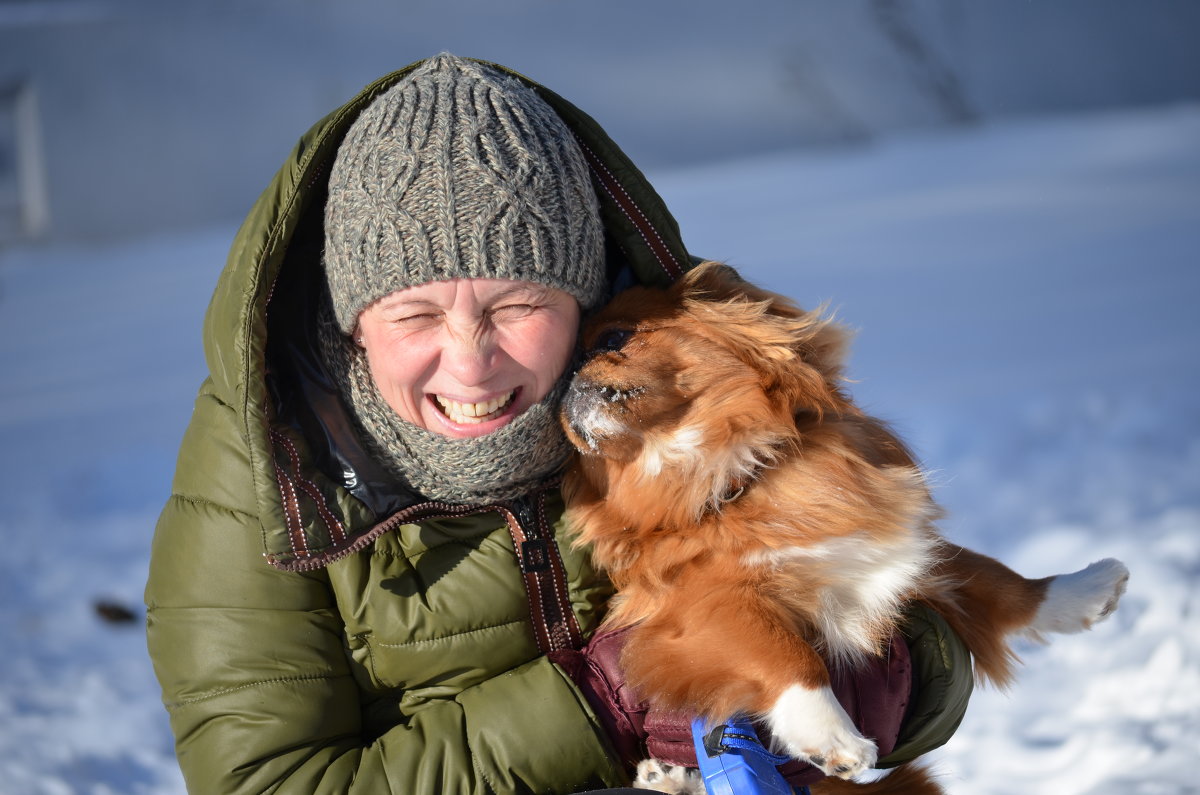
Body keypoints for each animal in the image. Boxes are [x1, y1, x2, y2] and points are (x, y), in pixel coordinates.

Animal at [559, 264, 1123, 792]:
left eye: (614, 338)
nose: (565, 379)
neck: (736, 478)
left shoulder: (892, 550)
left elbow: (989, 575)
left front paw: (1085, 590)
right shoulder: (699, 606)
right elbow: (783, 653)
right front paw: (833, 737)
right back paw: (671, 778)